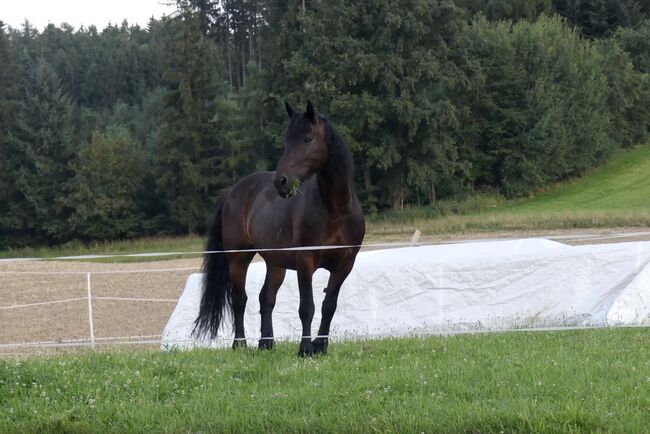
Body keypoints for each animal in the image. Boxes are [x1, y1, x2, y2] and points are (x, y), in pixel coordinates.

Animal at [192, 100, 364, 354]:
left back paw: (266, 343)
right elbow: (307, 307)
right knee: (239, 299)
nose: (281, 181)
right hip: (238, 259)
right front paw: (305, 349)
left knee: (266, 298)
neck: (336, 210)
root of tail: (234, 191)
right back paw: (240, 344)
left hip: (276, 263)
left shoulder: (345, 265)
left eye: (308, 138)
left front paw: (321, 346)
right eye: (285, 141)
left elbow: (329, 305)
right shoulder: (305, 262)